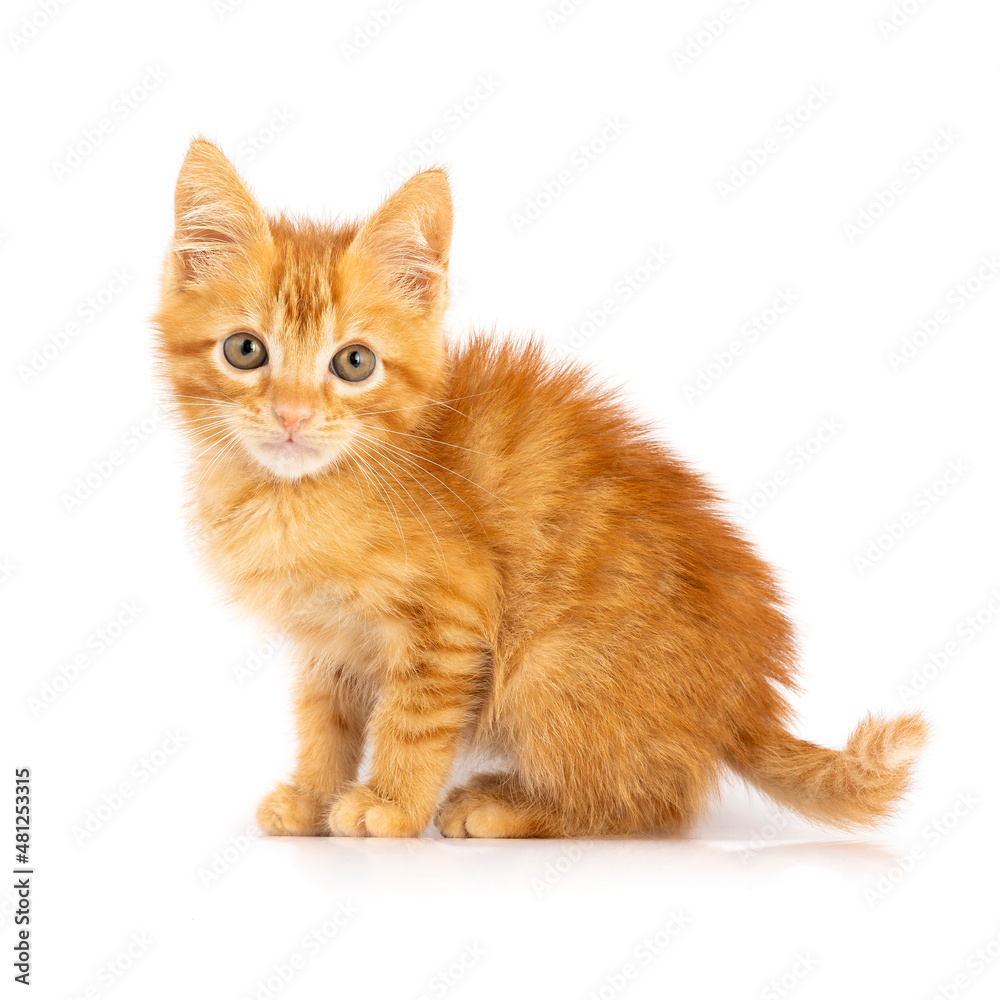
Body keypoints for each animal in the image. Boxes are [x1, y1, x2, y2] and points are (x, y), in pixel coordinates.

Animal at [152, 141, 924, 840]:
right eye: (245, 350)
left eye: (354, 363)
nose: (291, 415)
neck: (297, 494)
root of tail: (746, 700)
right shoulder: (329, 640)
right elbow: (325, 720)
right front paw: (314, 796)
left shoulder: (452, 615)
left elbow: (412, 719)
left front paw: (391, 806)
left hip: (551, 671)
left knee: (649, 802)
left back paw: (505, 806)